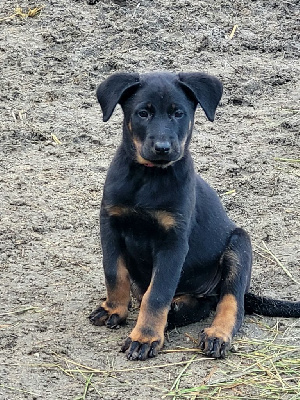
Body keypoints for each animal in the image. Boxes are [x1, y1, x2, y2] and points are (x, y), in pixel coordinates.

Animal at [90, 70, 300, 360]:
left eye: (178, 113)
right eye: (143, 113)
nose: (163, 148)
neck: (148, 178)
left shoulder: (173, 243)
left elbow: (157, 293)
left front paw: (145, 337)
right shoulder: (110, 225)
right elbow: (114, 272)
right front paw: (114, 309)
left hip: (239, 246)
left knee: (230, 302)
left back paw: (216, 334)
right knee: (201, 304)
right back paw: (178, 310)